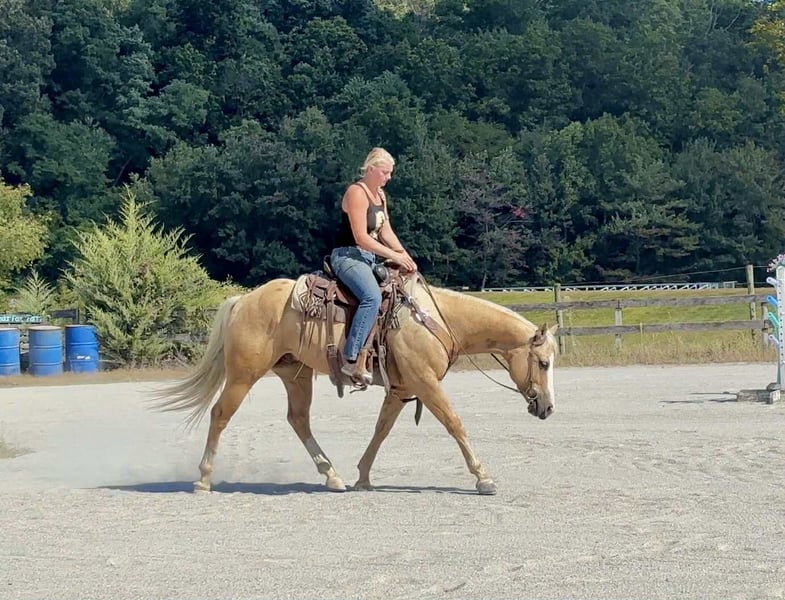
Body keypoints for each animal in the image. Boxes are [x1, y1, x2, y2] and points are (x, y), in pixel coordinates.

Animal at [152, 276, 558, 495]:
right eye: (543, 362)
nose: (548, 408)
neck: (436, 320)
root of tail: (242, 300)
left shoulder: (401, 389)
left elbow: (381, 430)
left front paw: (362, 476)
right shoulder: (425, 383)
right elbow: (455, 424)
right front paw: (483, 478)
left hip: (296, 374)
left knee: (298, 420)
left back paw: (332, 476)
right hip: (243, 374)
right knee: (221, 414)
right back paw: (203, 479)